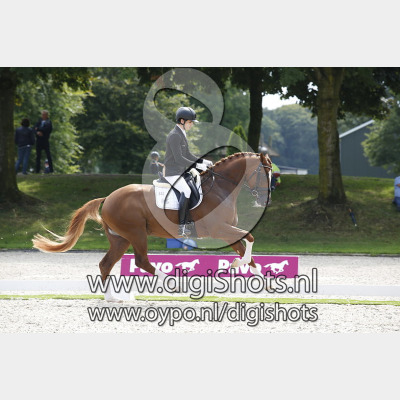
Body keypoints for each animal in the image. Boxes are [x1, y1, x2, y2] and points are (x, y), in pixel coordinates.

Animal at [32, 152, 272, 283]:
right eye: (264, 173)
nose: (265, 200)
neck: (222, 188)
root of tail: (108, 197)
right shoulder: (219, 229)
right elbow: (250, 238)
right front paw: (236, 264)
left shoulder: (227, 232)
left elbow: (247, 251)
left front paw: (262, 281)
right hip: (136, 233)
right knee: (141, 261)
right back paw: (174, 284)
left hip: (121, 238)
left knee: (106, 264)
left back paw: (111, 298)